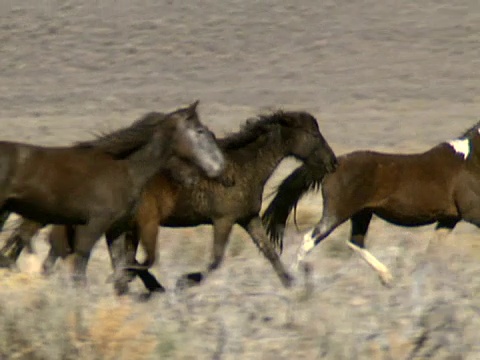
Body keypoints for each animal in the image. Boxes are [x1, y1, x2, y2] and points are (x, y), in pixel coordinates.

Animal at [0, 102, 226, 286]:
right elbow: (80, 274)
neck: (125, 168)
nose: (219, 168)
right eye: (200, 131)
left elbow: (120, 269)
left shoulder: (116, 228)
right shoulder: (91, 227)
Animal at [262, 119, 480, 286]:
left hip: (362, 214)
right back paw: (292, 282)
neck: (471, 160)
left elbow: (432, 251)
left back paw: (387, 278)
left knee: (355, 242)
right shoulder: (471, 213)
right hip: (337, 213)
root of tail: (333, 165)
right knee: (310, 239)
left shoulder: (449, 219)